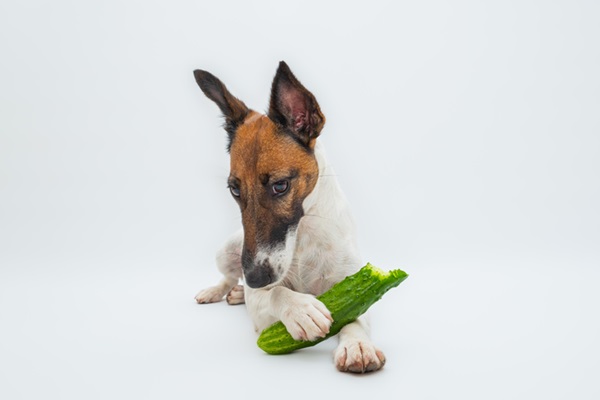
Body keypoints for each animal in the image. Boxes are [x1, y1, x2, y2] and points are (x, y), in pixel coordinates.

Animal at [195, 61, 386, 374]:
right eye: (234, 189)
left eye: (280, 185)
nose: (254, 279)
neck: (303, 232)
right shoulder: (260, 303)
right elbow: (275, 294)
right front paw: (301, 309)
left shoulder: (356, 283)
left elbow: (355, 316)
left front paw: (357, 345)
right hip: (225, 251)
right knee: (228, 276)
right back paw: (219, 291)